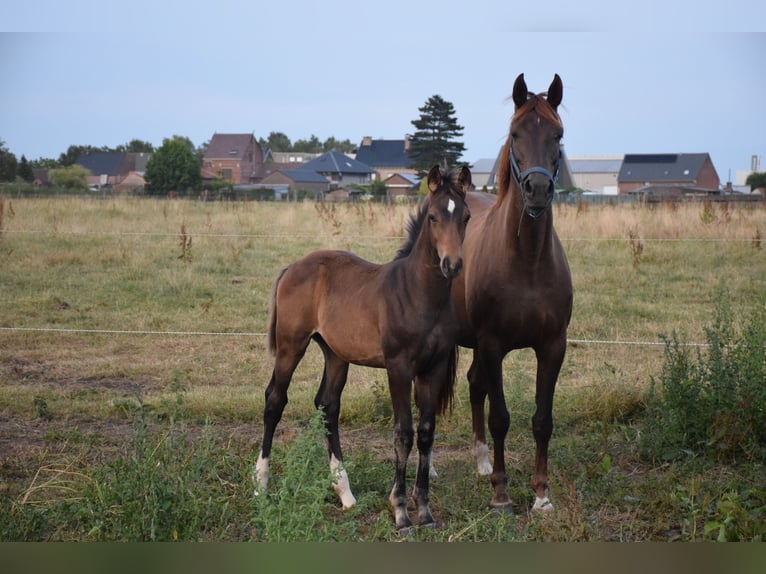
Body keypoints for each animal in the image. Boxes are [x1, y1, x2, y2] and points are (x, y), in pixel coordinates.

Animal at [255, 165, 472, 531]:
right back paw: (261, 484)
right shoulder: (399, 367)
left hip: (335, 354)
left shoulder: (434, 368)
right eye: (433, 217)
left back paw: (345, 493)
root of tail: (292, 267)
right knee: (275, 399)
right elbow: (403, 433)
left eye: (467, 217)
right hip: (290, 344)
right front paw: (401, 513)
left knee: (327, 404)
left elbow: (426, 432)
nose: (452, 264)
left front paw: (425, 512)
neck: (419, 294)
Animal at [450, 73, 573, 513]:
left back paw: (482, 461)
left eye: (558, 134)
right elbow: (500, 417)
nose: (537, 189)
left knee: (474, 385)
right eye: (515, 132)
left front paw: (541, 495)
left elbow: (542, 420)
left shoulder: (553, 346)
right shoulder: (492, 344)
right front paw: (502, 495)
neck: (528, 263)